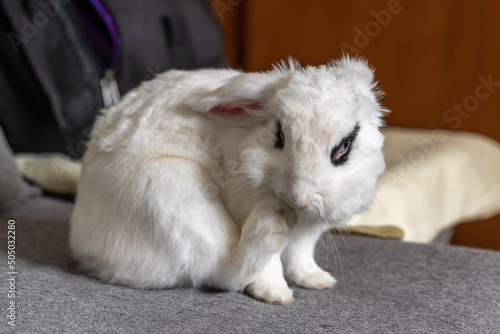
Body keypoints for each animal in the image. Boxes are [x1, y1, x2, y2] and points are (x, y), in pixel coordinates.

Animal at [69, 56, 386, 304]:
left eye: (344, 147)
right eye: (280, 135)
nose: (294, 197)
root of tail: (90, 255)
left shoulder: (308, 233)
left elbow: (299, 256)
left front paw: (317, 280)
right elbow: (268, 265)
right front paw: (276, 294)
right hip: (174, 196)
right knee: (224, 272)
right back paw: (271, 222)